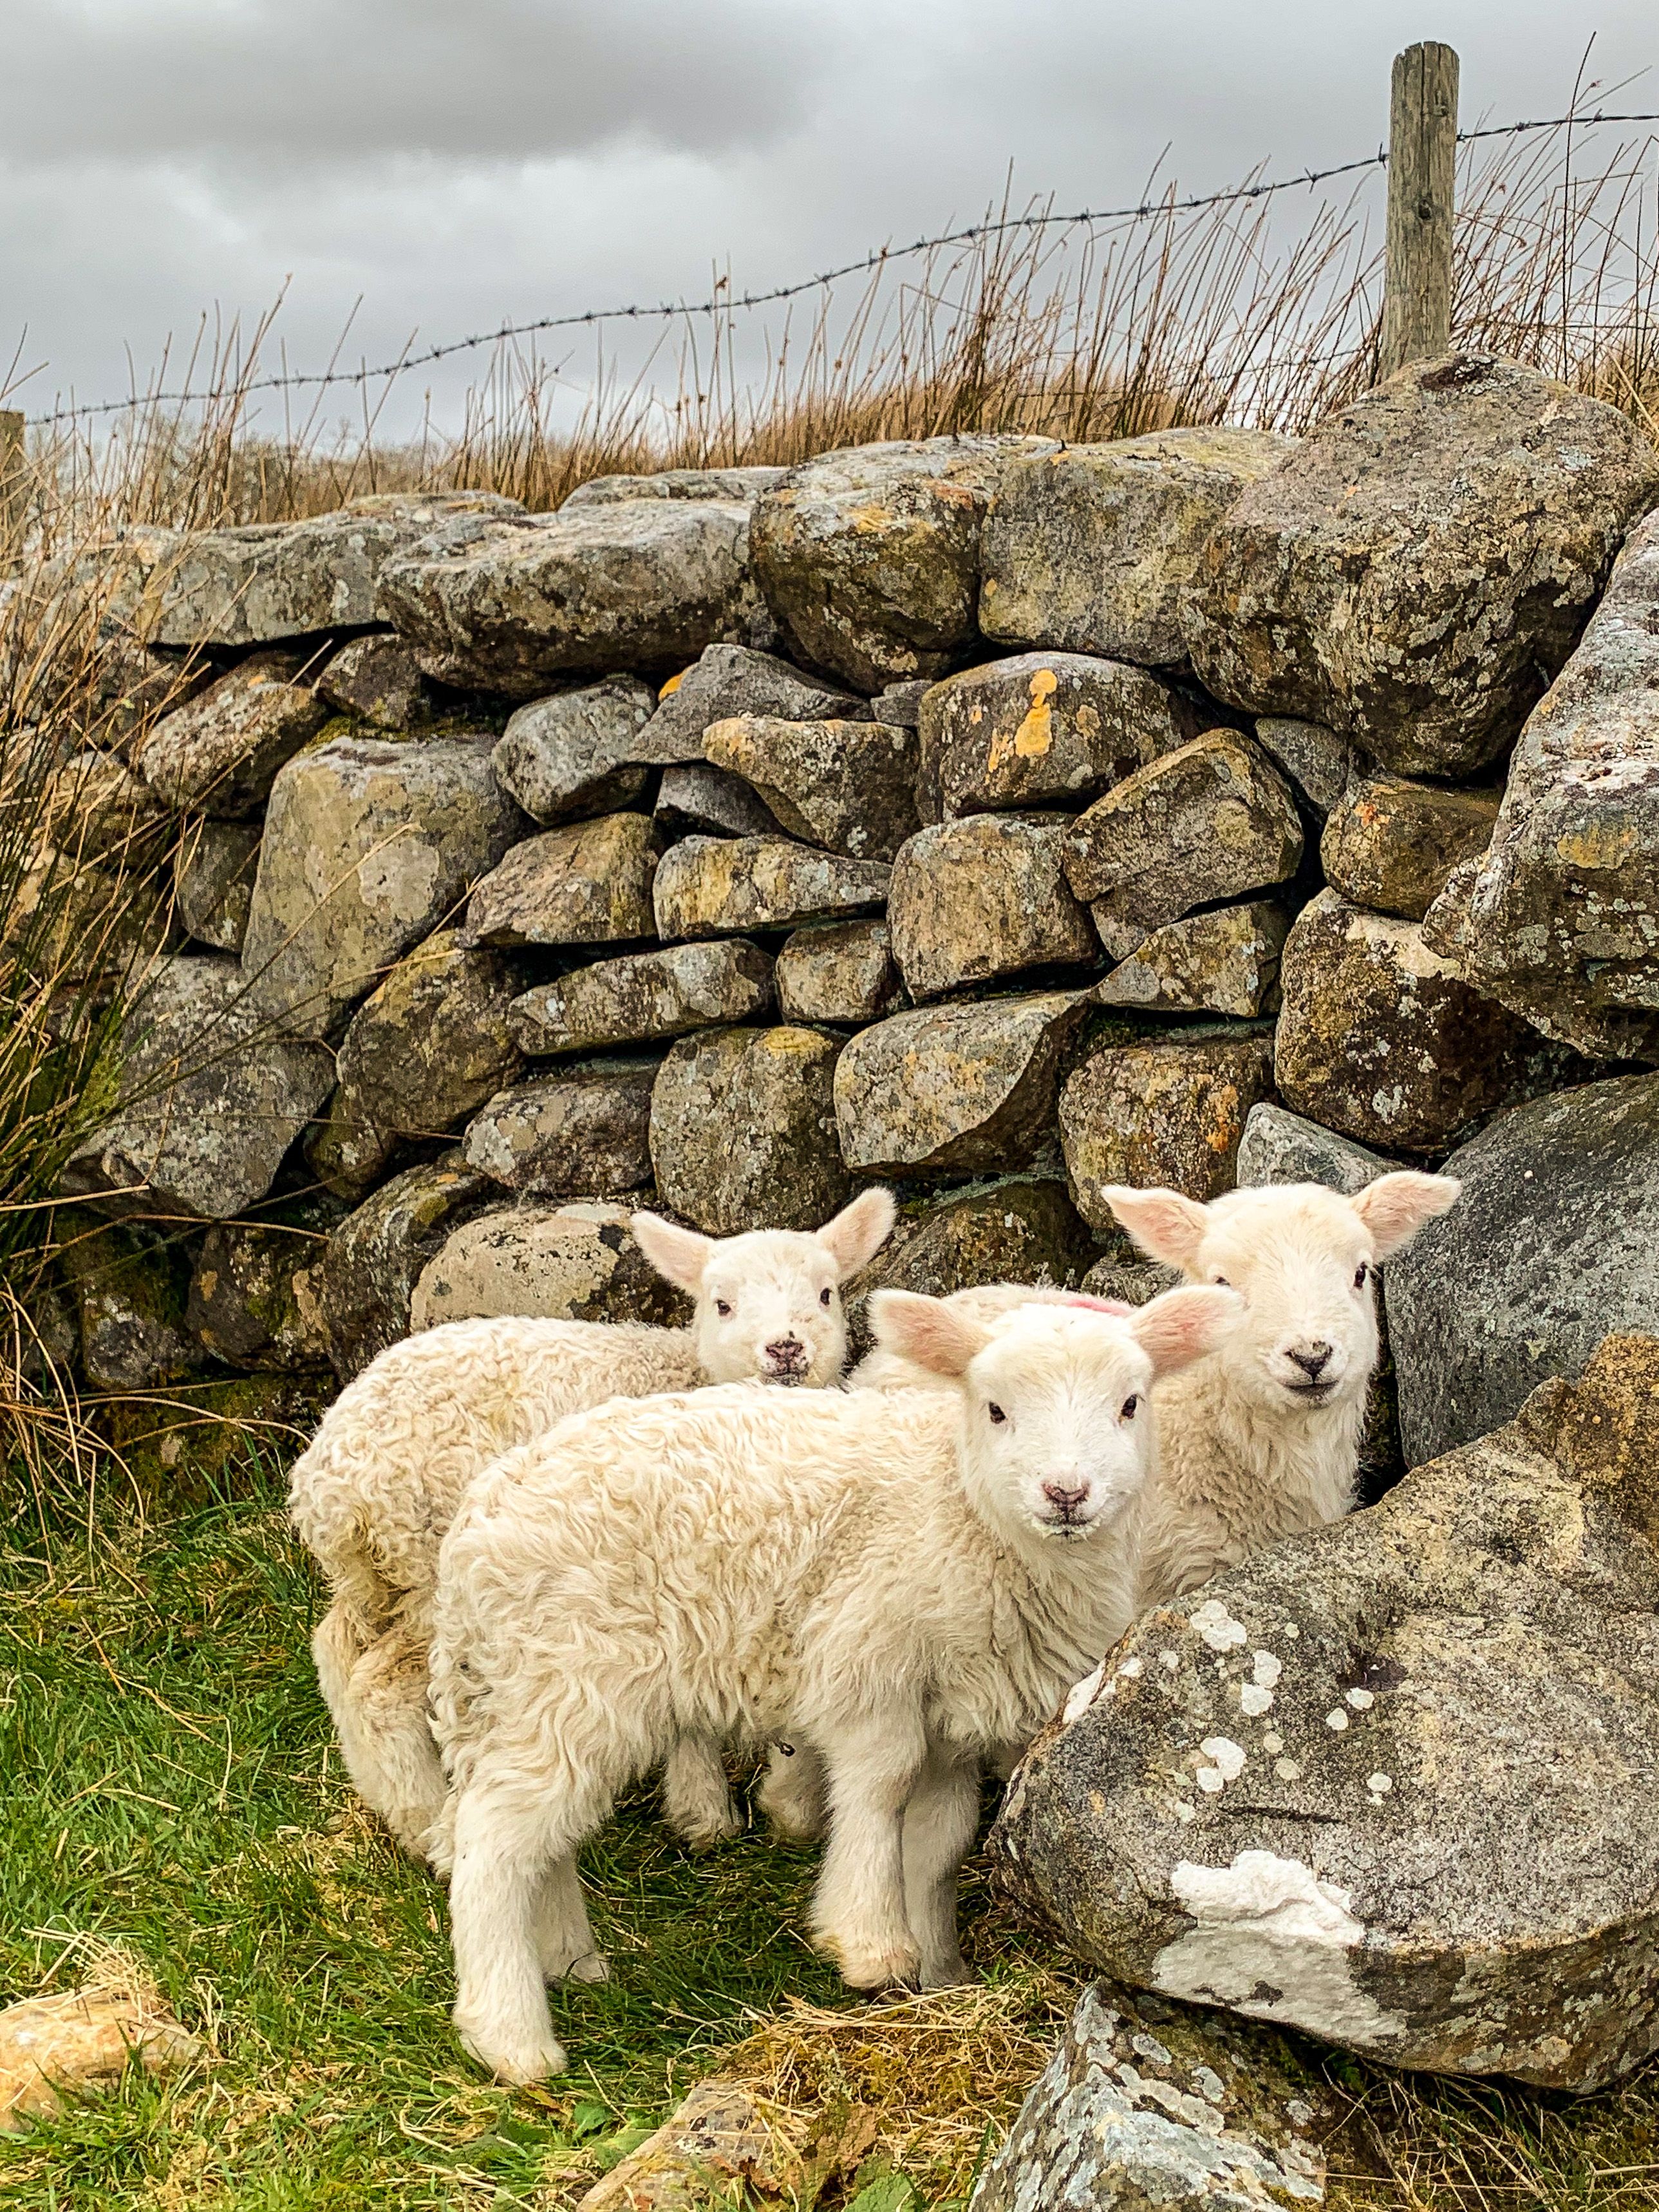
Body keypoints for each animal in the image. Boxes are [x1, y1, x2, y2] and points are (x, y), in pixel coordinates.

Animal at [289, 1186, 897, 1864]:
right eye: (722, 1304)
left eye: (825, 1294)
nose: (786, 1349)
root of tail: (327, 1480)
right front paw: (709, 1813)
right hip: (423, 1563)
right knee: (380, 1684)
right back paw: (421, 1819)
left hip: (375, 1577)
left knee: (334, 1648)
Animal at [425, 1282, 1239, 2084]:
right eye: (996, 1408)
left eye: (1130, 1403)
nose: (1066, 1493)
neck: (962, 1508)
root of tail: (474, 1528)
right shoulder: (867, 1661)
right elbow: (881, 1787)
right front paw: (872, 1942)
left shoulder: (957, 1709)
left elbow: (940, 1838)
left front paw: (942, 1972)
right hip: (568, 1675)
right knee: (495, 1838)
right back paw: (510, 2036)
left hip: (537, 1689)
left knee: (545, 1835)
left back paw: (569, 1959)